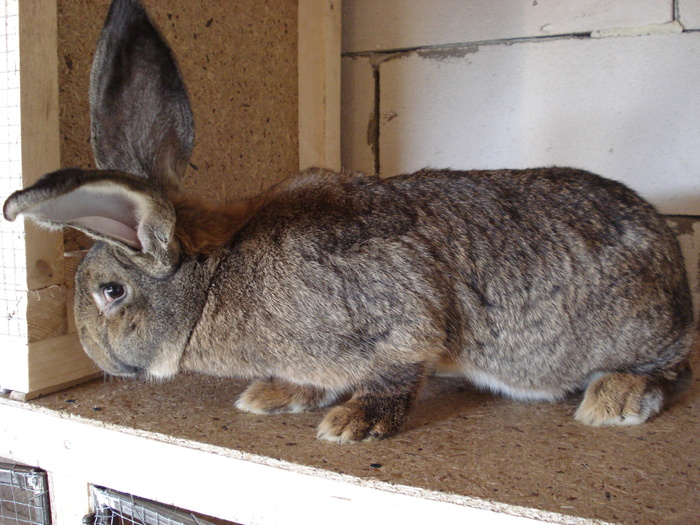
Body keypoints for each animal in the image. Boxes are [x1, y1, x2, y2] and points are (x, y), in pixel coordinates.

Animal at [4, 0, 696, 442]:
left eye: (111, 292)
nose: (92, 352)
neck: (215, 279)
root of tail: (677, 275)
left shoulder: (401, 316)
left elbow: (397, 369)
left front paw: (352, 424)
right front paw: (275, 395)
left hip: (636, 332)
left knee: (673, 365)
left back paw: (614, 399)